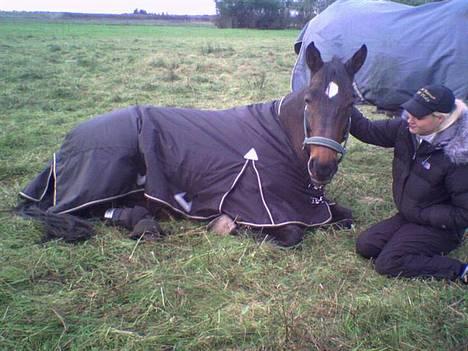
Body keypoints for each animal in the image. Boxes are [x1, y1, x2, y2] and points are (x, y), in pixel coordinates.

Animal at [18, 42, 368, 248]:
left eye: (350, 104)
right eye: (309, 99)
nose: (321, 167)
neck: (280, 136)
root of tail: (65, 145)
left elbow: (347, 215)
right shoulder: (264, 209)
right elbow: (292, 234)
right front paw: (225, 225)